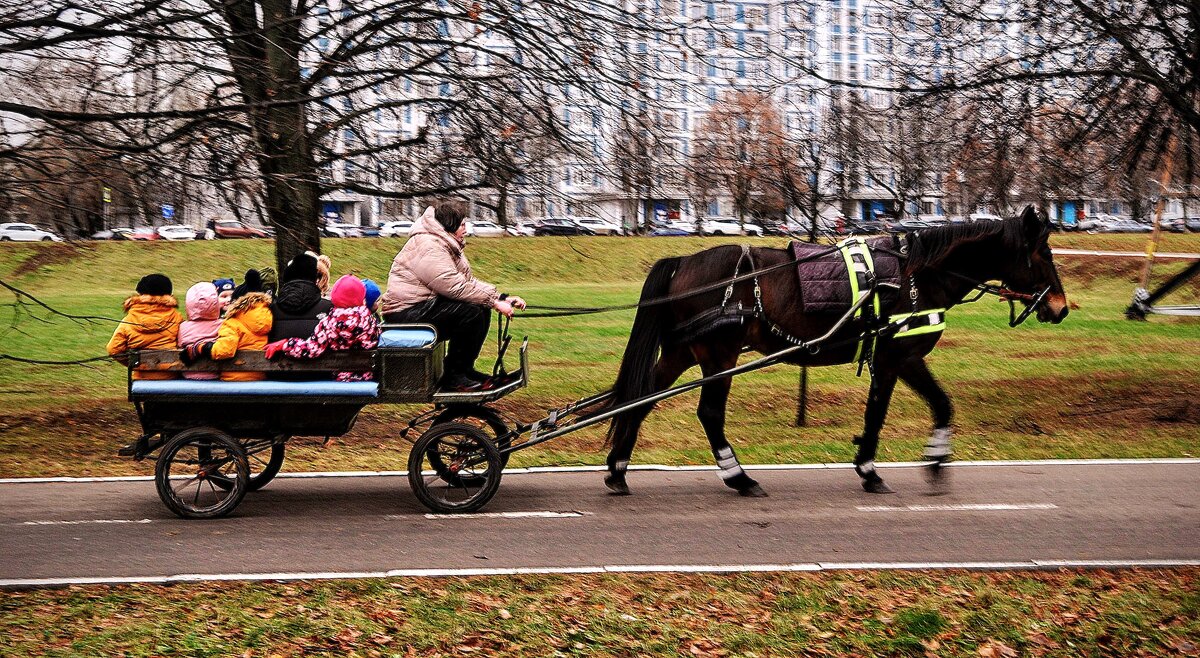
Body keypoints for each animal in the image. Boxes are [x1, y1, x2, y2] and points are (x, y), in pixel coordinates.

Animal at [609, 204, 1070, 494]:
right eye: (1043, 254)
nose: (1060, 307)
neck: (916, 275)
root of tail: (683, 262)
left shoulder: (892, 360)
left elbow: (902, 410)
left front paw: (886, 463)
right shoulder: (899, 357)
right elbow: (916, 407)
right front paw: (912, 463)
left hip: (684, 353)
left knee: (641, 400)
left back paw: (617, 468)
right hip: (718, 356)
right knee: (708, 413)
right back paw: (738, 476)